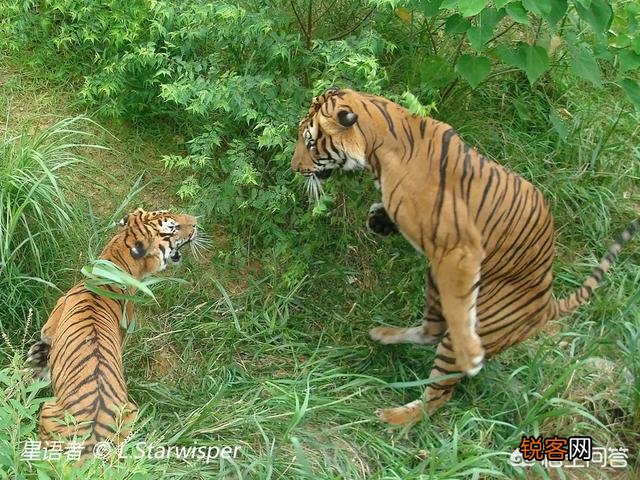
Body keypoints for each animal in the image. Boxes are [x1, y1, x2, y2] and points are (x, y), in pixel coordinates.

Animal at [290, 88, 639, 425]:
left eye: (310, 142)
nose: (294, 167)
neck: (380, 144)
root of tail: (546, 305)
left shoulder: (462, 249)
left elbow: (460, 316)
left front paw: (471, 356)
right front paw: (379, 219)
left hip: (473, 319)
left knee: (440, 392)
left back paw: (396, 417)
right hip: (435, 284)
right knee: (430, 331)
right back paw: (384, 335)